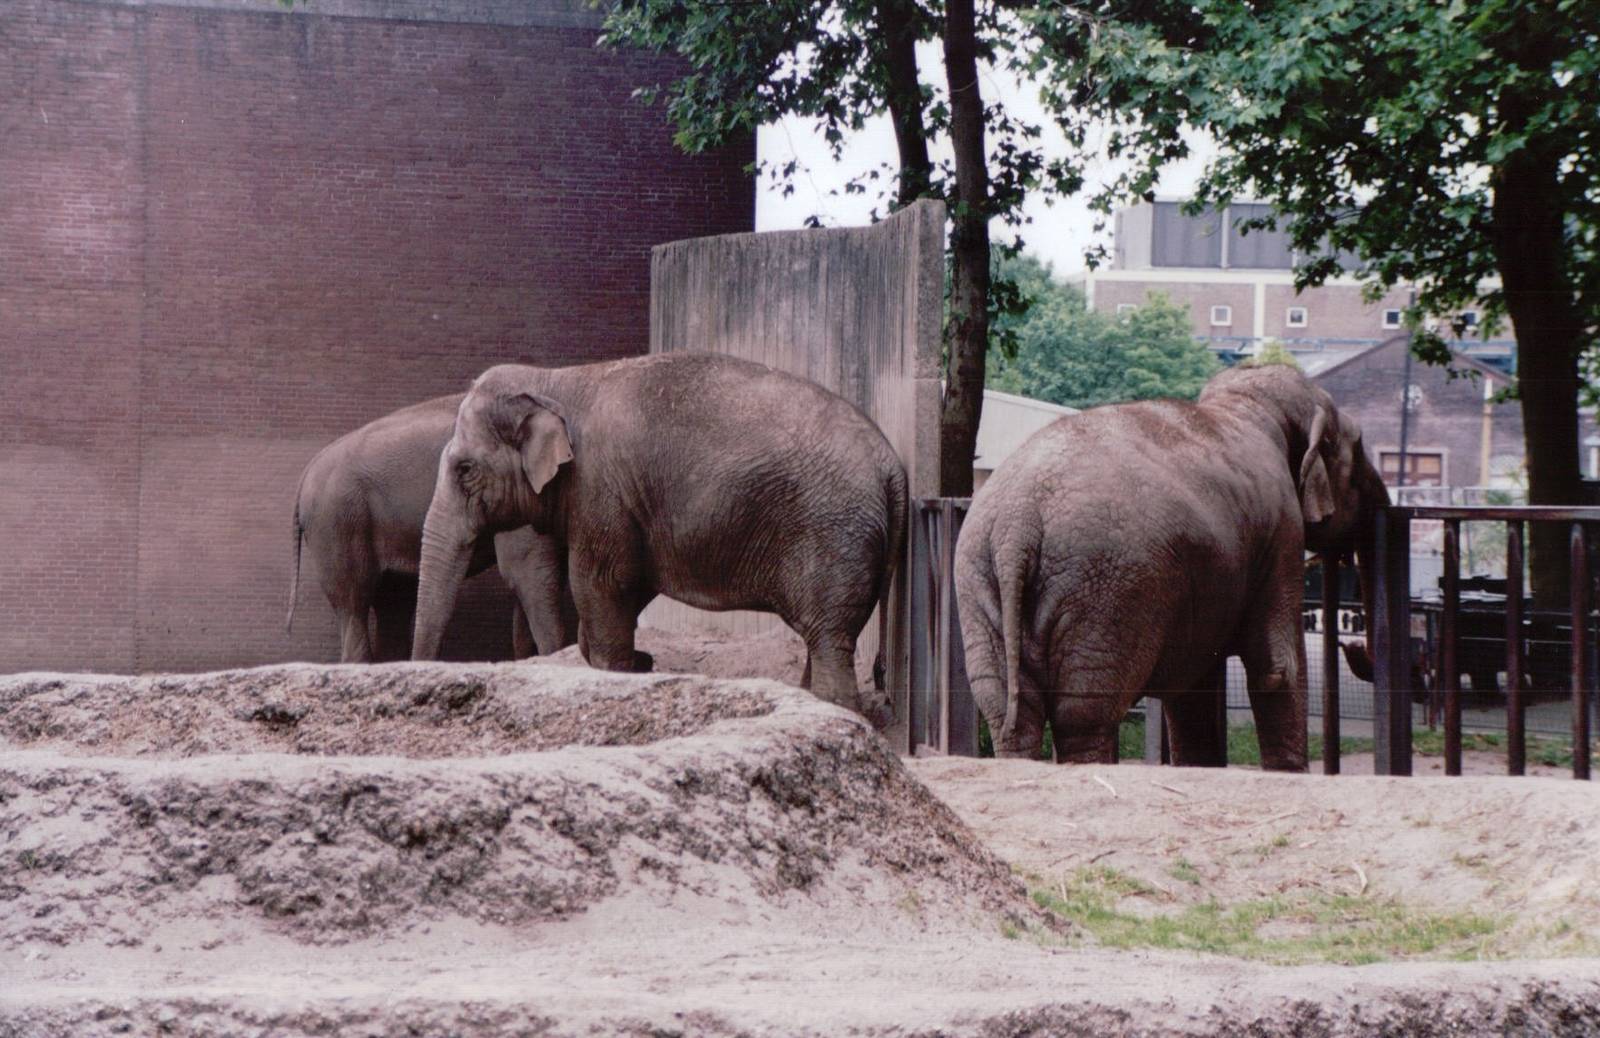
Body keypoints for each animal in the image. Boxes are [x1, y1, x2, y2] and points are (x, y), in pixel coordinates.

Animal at [409, 352, 907, 728]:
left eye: (464, 469)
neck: (557, 378)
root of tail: (892, 464)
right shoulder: (628, 506)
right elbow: (630, 586)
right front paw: (640, 661)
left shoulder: (600, 490)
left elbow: (601, 585)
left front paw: (620, 668)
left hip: (833, 534)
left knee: (828, 639)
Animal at [953, 365, 1389, 770]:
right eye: (1359, 446)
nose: (1348, 643)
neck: (1243, 405)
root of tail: (1018, 521)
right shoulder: (1282, 533)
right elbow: (1276, 668)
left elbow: (1192, 685)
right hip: (1106, 590)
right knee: (1084, 712)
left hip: (983, 584)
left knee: (1008, 708)